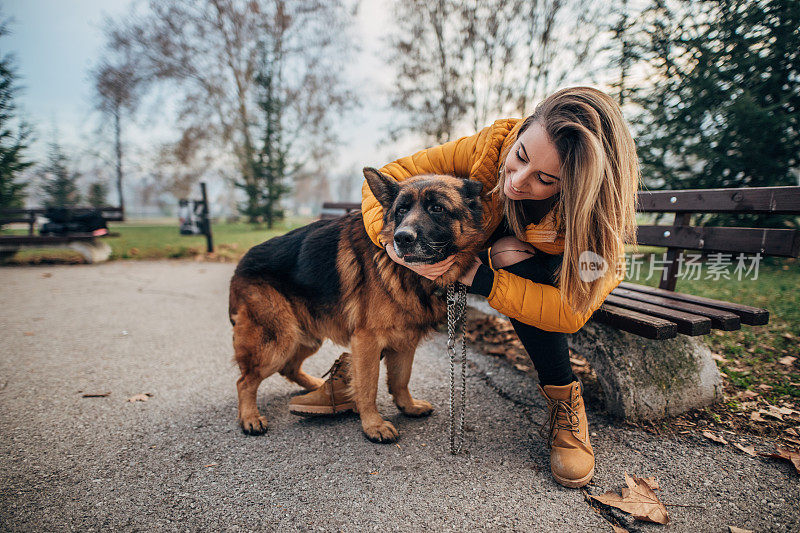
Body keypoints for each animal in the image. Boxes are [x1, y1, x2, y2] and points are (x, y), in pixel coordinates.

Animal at [228, 167, 484, 440]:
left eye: (437, 208)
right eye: (401, 210)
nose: (401, 238)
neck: (405, 272)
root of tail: (241, 263)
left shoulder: (405, 339)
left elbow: (401, 379)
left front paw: (407, 406)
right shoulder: (367, 341)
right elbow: (368, 386)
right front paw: (373, 424)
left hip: (307, 336)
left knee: (288, 367)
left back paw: (315, 386)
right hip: (278, 340)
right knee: (244, 381)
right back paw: (250, 417)